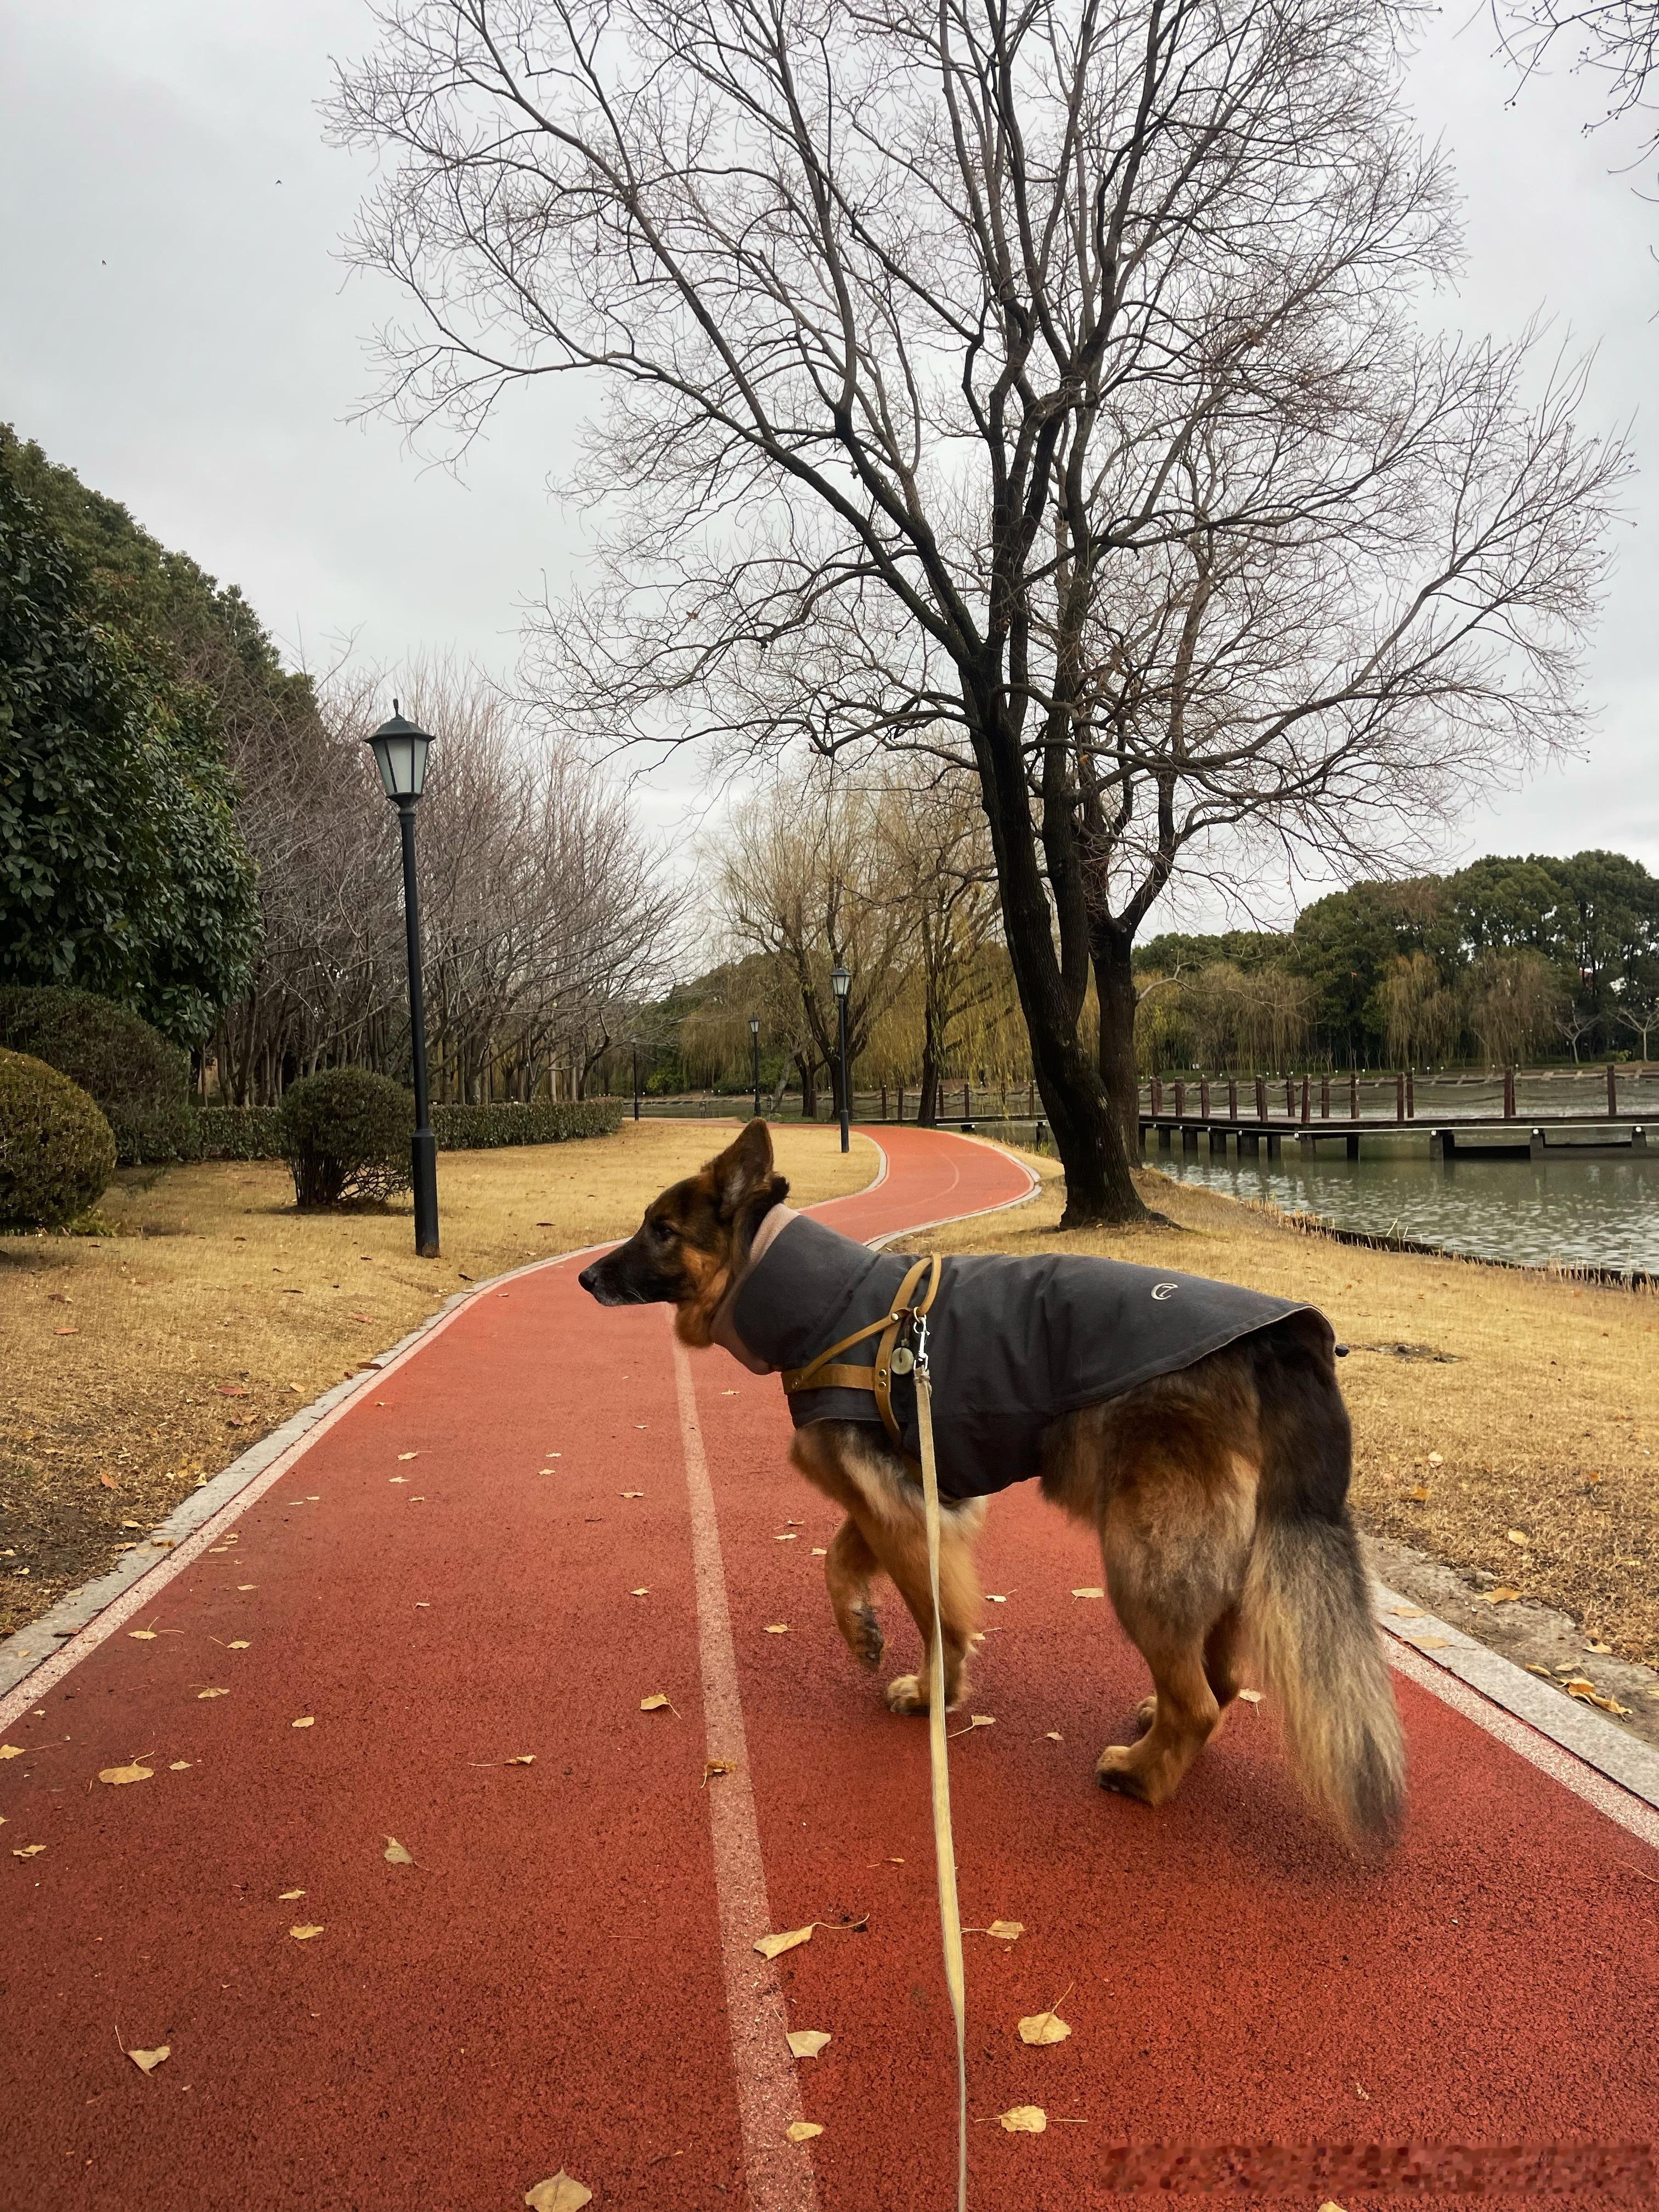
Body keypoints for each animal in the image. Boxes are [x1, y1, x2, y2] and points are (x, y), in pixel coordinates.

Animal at [579, 1115, 1407, 1840]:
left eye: (661, 1230)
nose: (586, 1276)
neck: (831, 1307)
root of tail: (1279, 1345)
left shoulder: (905, 1513)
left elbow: (936, 1616)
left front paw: (933, 1695)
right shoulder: (897, 1494)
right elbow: (838, 1560)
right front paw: (862, 1632)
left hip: (1140, 1560)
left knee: (1201, 1699)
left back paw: (1142, 1776)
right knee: (1222, 1677)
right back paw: (1155, 1727)